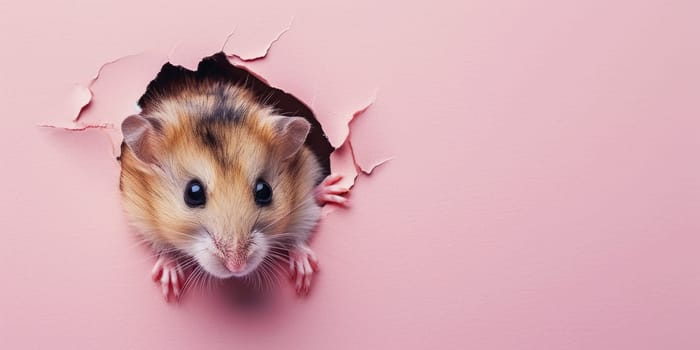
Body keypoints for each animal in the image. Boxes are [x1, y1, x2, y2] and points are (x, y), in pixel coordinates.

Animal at [121, 77, 350, 300]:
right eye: (193, 193)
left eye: (264, 191)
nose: (236, 267)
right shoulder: (139, 212)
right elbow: (161, 247)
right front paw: (170, 285)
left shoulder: (303, 191)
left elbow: (301, 233)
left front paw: (304, 277)